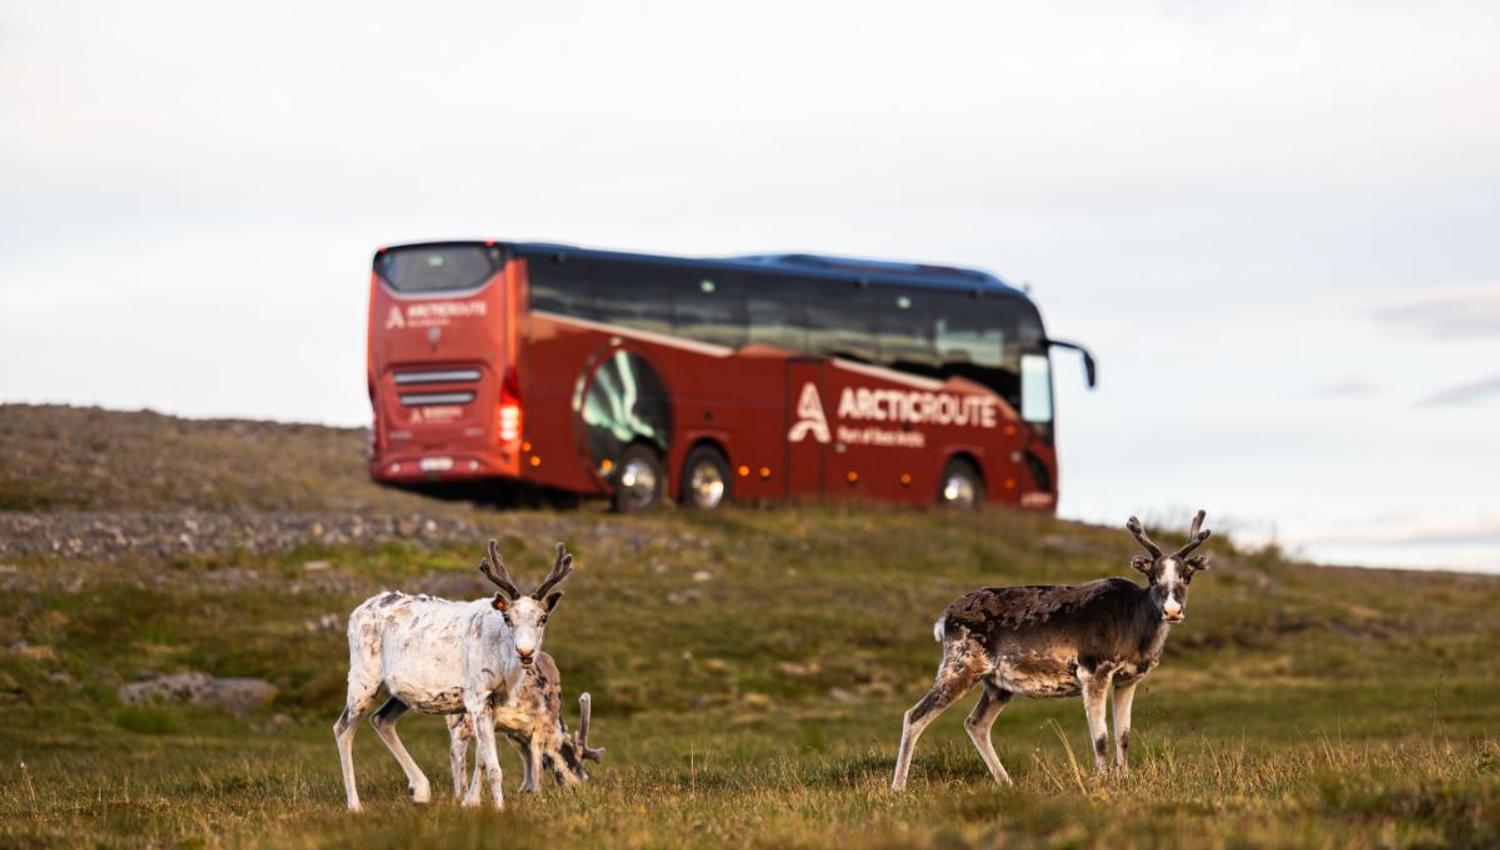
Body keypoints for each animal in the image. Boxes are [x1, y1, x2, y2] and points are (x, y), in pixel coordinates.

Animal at [334, 539, 574, 812]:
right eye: (507, 617)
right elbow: (494, 767)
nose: (525, 651)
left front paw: (471, 800)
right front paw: (498, 809)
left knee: (381, 719)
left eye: (543, 618)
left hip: (400, 692)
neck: (504, 667)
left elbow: (482, 759)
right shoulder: (477, 697)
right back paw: (355, 804)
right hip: (363, 677)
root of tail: (355, 612)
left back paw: (420, 789)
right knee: (343, 728)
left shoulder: (494, 703)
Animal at [445, 653, 605, 797]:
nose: (581, 784)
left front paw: (524, 789)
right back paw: (463, 794)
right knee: (457, 749)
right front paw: (536, 793)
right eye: (574, 760)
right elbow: (537, 762)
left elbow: (526, 755)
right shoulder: (541, 725)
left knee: (453, 748)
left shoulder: (514, 733)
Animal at [891, 510, 1212, 791]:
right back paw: (898, 788)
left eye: (1187, 576)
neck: (1137, 630)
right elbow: (1101, 737)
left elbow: (1123, 735)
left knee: (975, 723)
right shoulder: (1094, 671)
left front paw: (1124, 779)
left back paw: (1007, 783)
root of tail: (943, 619)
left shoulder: (1127, 679)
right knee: (914, 715)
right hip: (960, 665)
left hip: (997, 685)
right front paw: (1104, 780)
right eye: (1153, 578)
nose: (1172, 610)